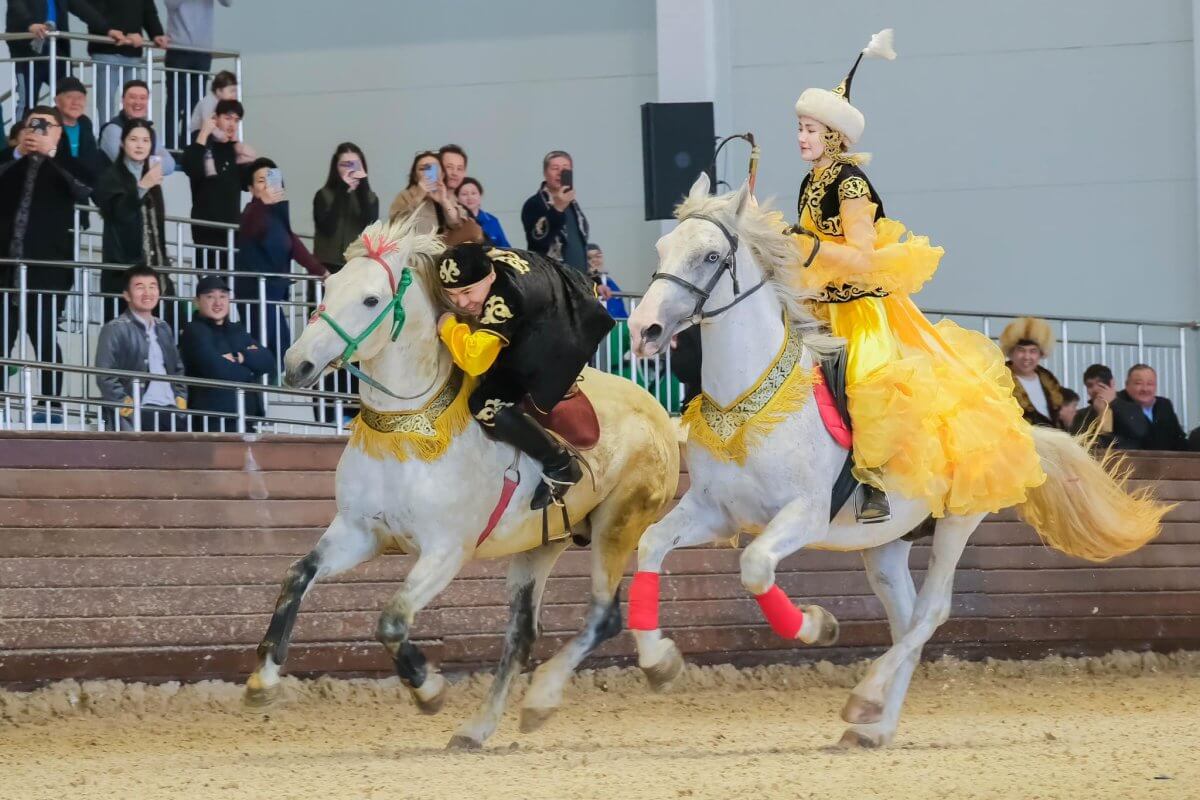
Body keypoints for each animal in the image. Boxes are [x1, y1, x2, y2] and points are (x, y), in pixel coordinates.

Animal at [241, 214, 686, 753]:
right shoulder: (359, 532)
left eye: (370, 299)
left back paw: (581, 687)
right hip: (541, 546)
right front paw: (263, 681)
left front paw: (428, 689)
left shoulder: (445, 551)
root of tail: (661, 415)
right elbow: (296, 578)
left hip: (618, 525)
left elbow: (392, 620)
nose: (296, 365)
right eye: (327, 287)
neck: (407, 431)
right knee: (522, 637)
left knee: (603, 615)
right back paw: (479, 728)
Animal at [624, 173, 1166, 743]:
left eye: (710, 256)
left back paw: (865, 700)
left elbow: (753, 567)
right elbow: (652, 544)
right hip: (886, 544)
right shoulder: (715, 512)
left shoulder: (803, 514)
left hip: (958, 523)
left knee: (931, 612)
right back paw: (875, 726)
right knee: (906, 619)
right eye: (662, 248)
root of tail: (1010, 416)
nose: (644, 330)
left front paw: (818, 626)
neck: (748, 404)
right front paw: (660, 662)